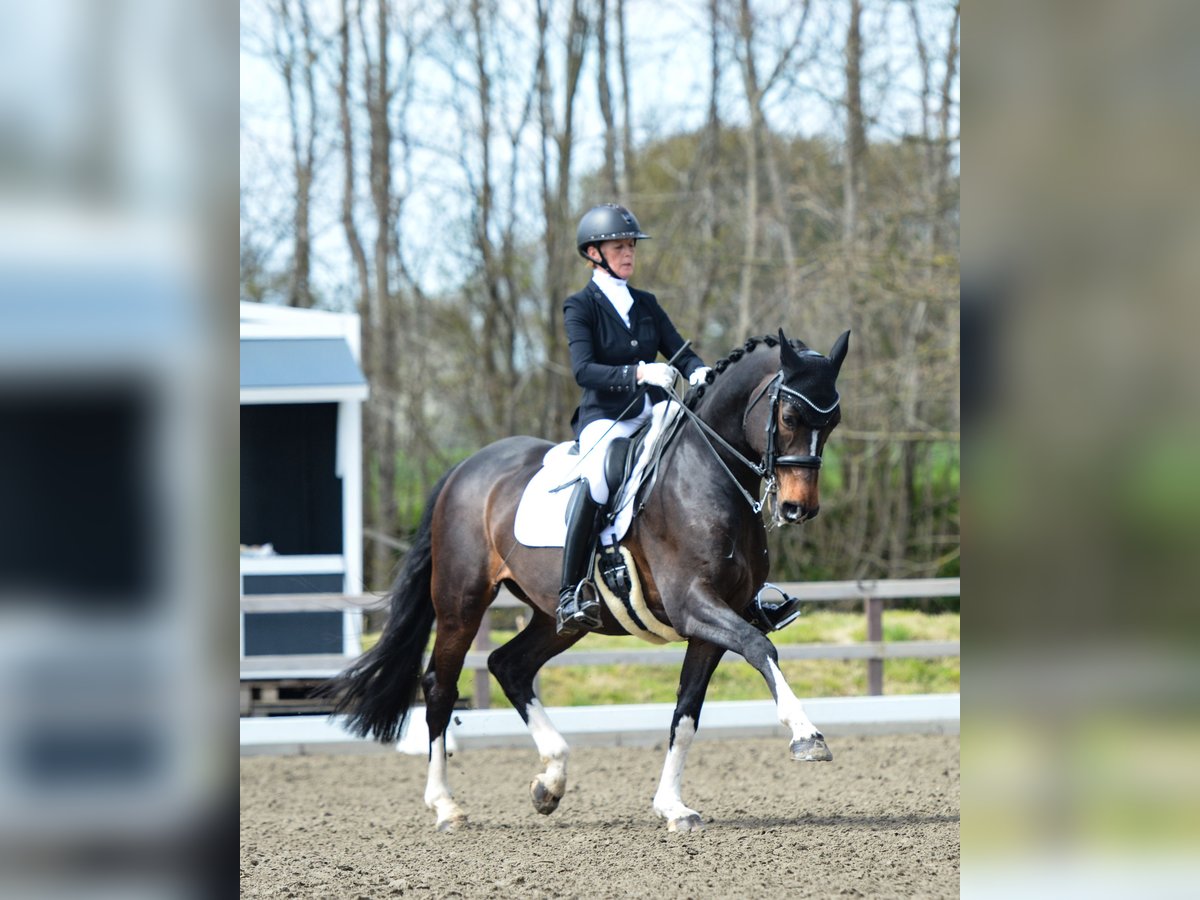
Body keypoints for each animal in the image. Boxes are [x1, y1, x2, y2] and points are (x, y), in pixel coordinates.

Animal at [314, 328, 849, 835]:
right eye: (789, 416)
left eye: (833, 421)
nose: (798, 508)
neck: (705, 474)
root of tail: (465, 468)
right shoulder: (694, 604)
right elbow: (760, 647)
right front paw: (806, 736)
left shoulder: (716, 621)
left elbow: (686, 714)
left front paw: (672, 807)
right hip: (461, 602)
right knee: (439, 687)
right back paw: (446, 806)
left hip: (557, 618)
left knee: (509, 665)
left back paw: (550, 780)